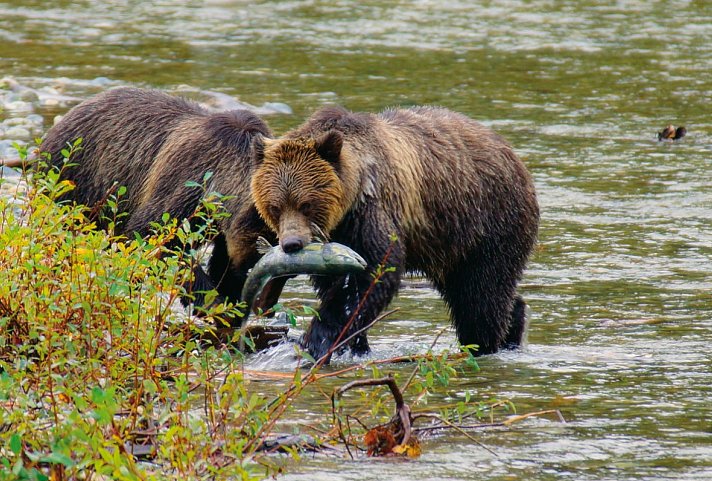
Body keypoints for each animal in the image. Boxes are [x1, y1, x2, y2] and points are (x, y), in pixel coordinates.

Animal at [38, 87, 278, 314]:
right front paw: (211, 300)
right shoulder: (186, 183)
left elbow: (223, 261)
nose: (267, 304)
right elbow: (155, 237)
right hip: (74, 184)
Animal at [253, 104, 536, 360]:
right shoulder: (337, 238)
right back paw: (515, 323)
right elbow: (334, 282)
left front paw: (317, 339)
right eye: (275, 206)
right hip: (449, 245)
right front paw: (355, 345)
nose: (292, 244)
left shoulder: (371, 212)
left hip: (487, 223)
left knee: (481, 297)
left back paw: (486, 344)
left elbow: (375, 273)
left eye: (306, 204)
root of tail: (513, 155)